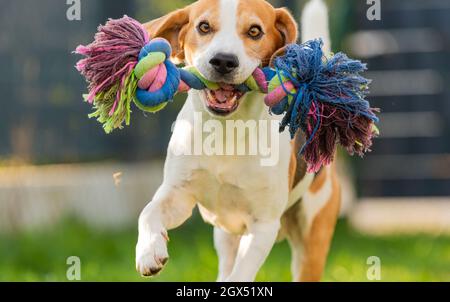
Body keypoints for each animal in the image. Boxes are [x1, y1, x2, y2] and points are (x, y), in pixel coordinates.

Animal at [135, 0, 340, 282]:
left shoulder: (263, 225)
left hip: (311, 242)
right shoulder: (178, 194)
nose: (223, 61)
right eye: (204, 27)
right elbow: (148, 212)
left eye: (254, 31)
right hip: (225, 238)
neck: (226, 131)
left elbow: (241, 274)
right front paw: (148, 250)